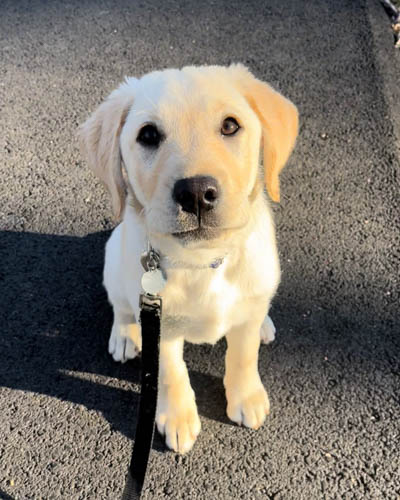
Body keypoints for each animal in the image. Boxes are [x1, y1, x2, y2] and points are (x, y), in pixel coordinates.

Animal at [79, 64, 296, 456]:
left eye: (230, 126)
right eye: (148, 135)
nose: (195, 193)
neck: (202, 262)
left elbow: (243, 355)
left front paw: (246, 396)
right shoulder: (160, 324)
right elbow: (170, 372)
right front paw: (178, 418)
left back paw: (264, 324)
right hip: (114, 258)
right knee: (121, 304)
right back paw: (124, 334)